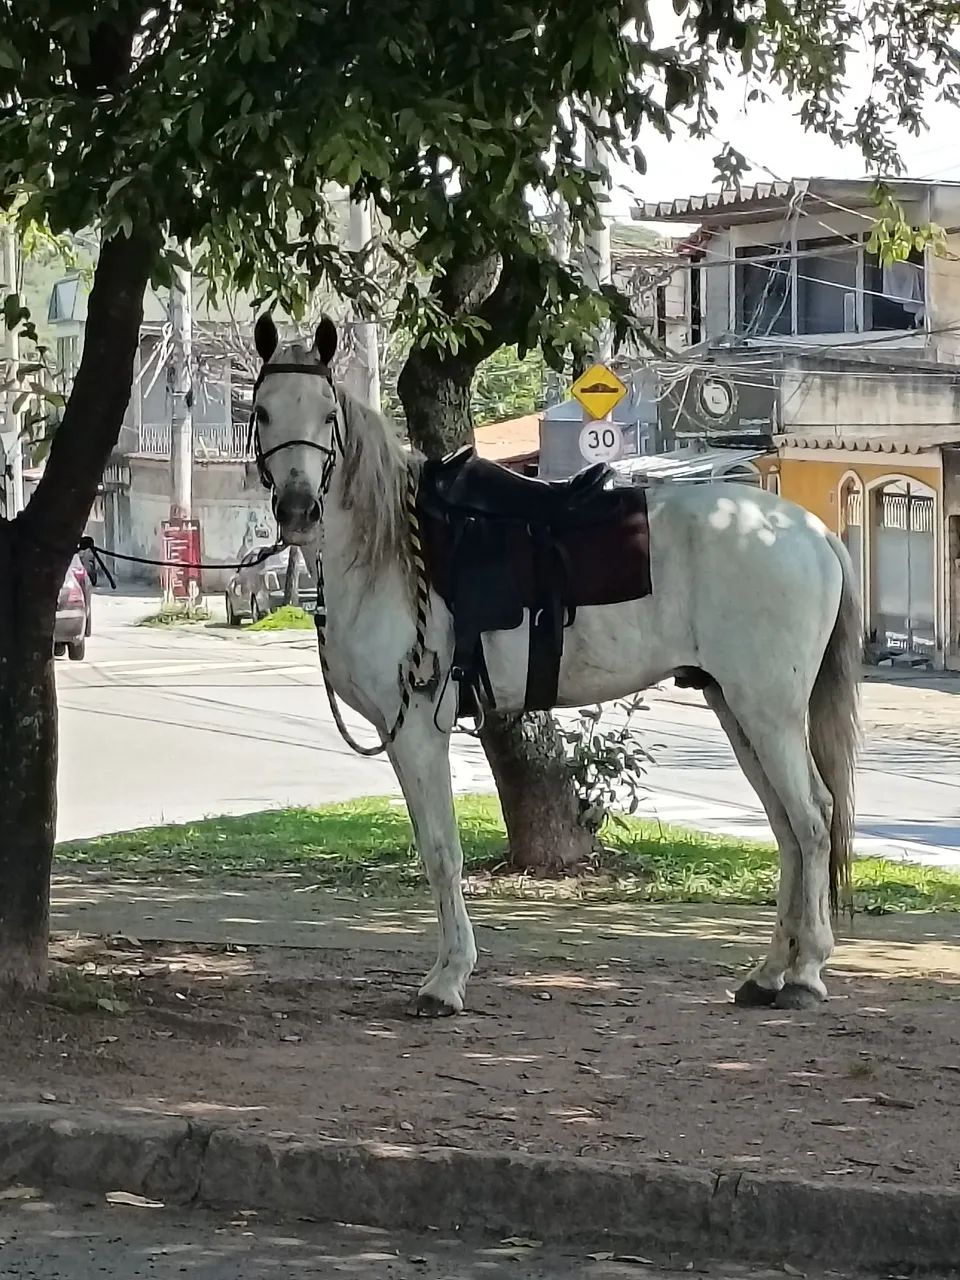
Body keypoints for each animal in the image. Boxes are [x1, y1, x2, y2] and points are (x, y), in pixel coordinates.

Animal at [251, 313, 861, 1018]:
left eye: (327, 414)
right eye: (263, 411)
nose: (299, 511)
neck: (394, 554)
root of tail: (813, 533)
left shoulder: (417, 732)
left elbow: (441, 852)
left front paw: (447, 980)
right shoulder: (399, 732)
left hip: (769, 713)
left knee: (812, 819)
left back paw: (806, 972)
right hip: (735, 708)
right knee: (788, 826)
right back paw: (769, 973)